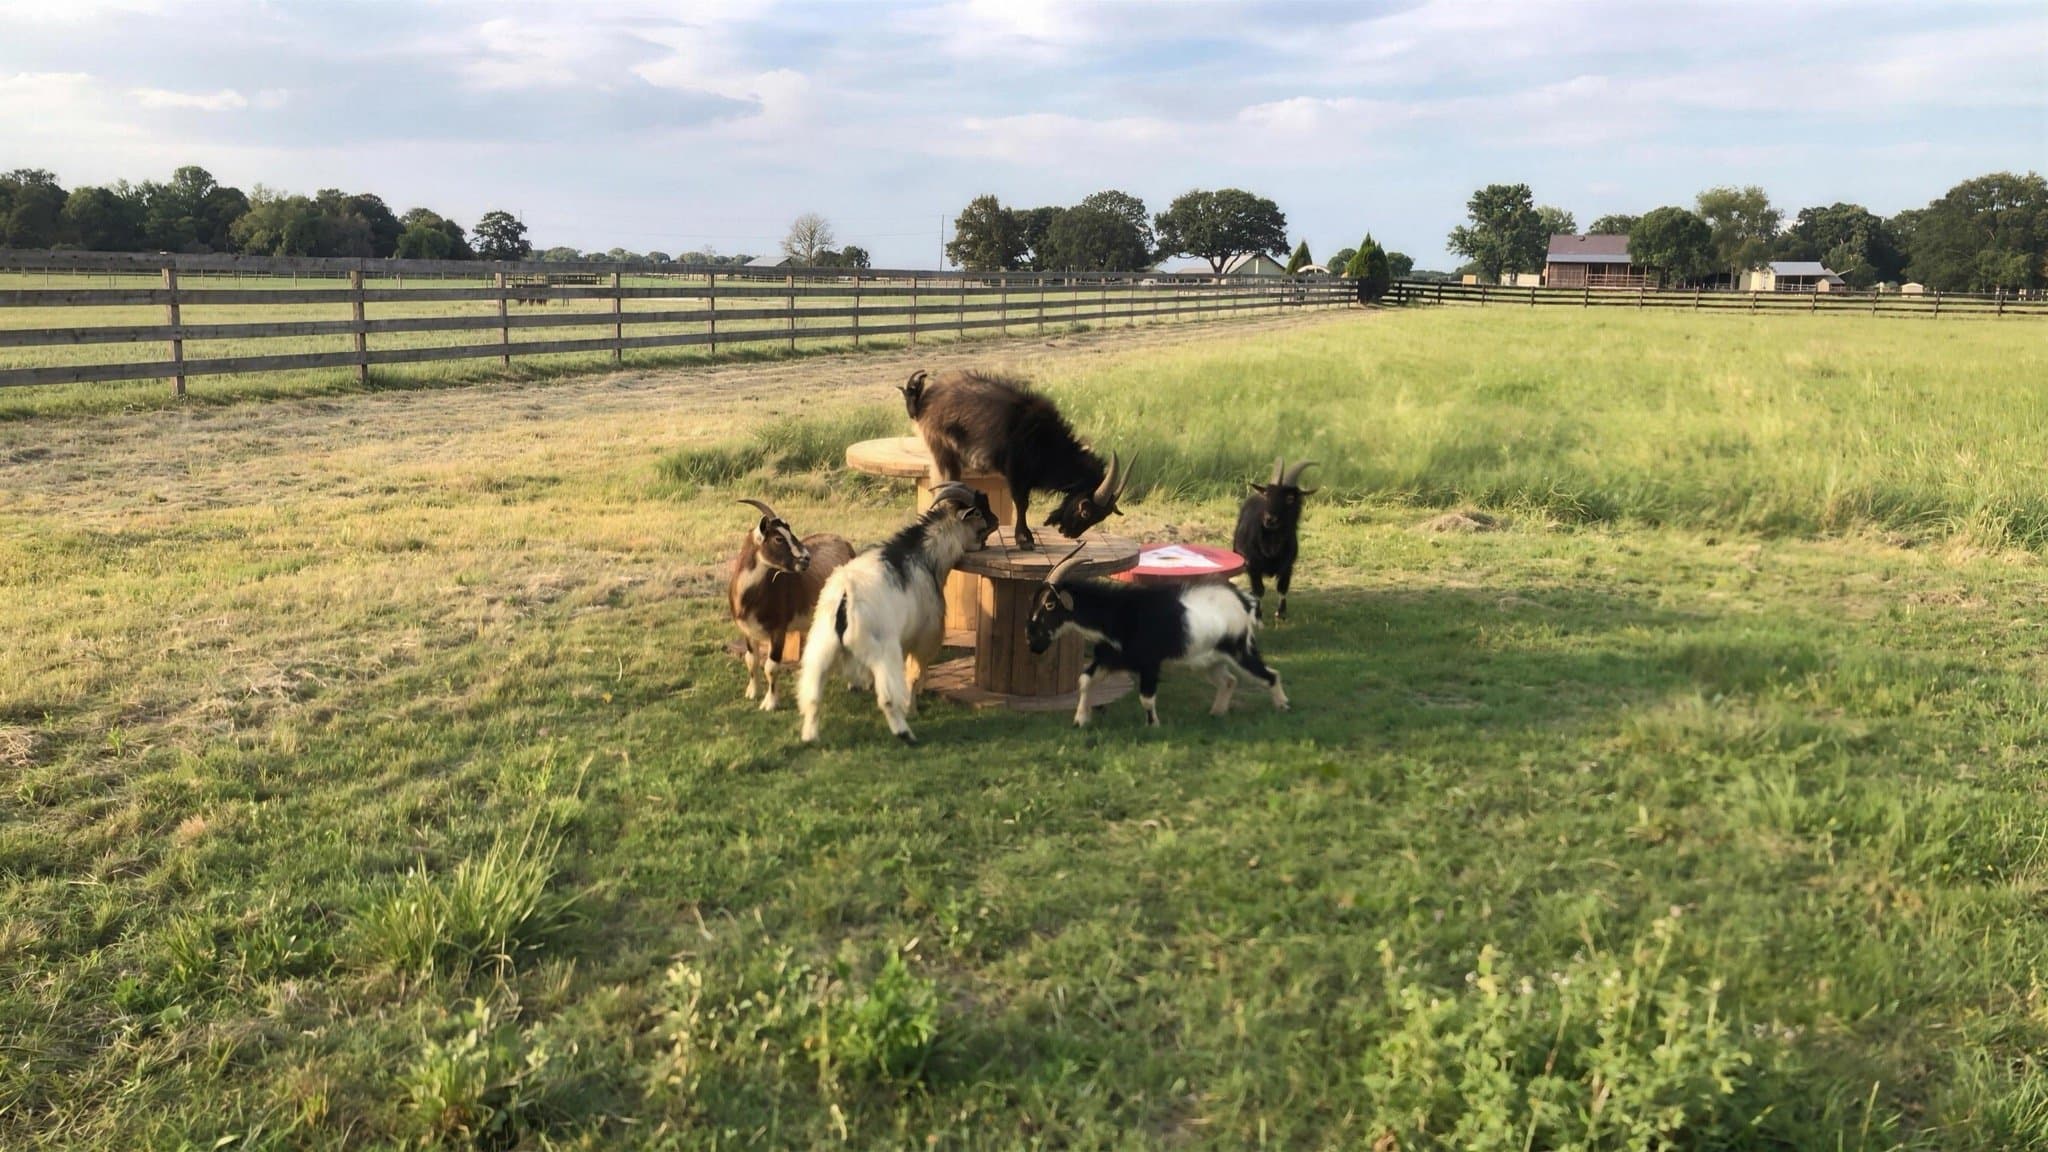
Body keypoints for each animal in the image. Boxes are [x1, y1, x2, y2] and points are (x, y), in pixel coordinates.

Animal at [728, 499, 854, 711]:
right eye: (778, 538)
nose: (806, 558)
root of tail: (846, 543)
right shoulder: (747, 630)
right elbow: (751, 660)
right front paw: (752, 692)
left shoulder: (779, 629)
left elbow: (771, 666)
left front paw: (770, 702)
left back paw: (853, 684)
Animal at [798, 483, 997, 744]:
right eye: (980, 513)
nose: (997, 520)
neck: (925, 556)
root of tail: (845, 597)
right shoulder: (923, 637)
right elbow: (914, 673)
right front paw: (912, 708)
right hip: (883, 650)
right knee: (888, 697)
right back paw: (905, 732)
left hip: (821, 646)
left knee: (812, 695)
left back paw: (810, 736)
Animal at [899, 368, 1129, 550]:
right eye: (1086, 512)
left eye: (1102, 516)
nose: (1069, 533)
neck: (1048, 442)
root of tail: (925, 400)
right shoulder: (1016, 472)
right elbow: (1022, 504)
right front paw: (1024, 539)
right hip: (942, 451)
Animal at [1026, 544, 1288, 729]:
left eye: (1049, 604)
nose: (1032, 641)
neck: (1119, 614)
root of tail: (1244, 601)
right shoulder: (1110, 659)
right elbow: (1084, 680)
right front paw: (1080, 720)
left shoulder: (1149, 663)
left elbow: (1146, 698)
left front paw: (1153, 725)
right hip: (1208, 660)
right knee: (1229, 681)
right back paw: (1216, 713)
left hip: (1240, 649)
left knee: (1270, 675)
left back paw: (1283, 706)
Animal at [1232, 458, 1317, 621]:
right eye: (1267, 495)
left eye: (1290, 498)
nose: (1269, 519)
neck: (1272, 542)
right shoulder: (1253, 565)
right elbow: (1259, 590)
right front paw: (1257, 614)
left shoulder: (1288, 566)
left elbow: (1282, 588)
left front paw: (1281, 613)